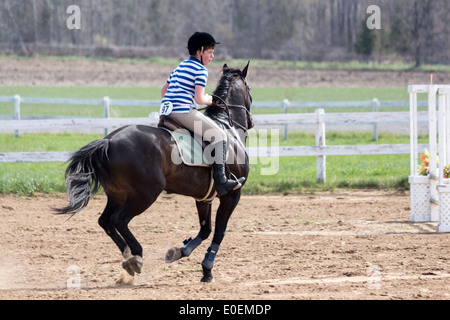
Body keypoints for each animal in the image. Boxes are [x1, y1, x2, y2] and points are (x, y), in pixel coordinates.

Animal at [56, 61, 253, 282]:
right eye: (250, 90)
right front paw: (207, 267)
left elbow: (205, 229)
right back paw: (136, 255)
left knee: (105, 220)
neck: (229, 129)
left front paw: (182, 252)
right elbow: (219, 231)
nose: (251, 121)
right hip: (145, 194)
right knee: (119, 220)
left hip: (117, 194)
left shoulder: (204, 198)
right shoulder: (232, 195)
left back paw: (128, 257)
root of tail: (109, 141)